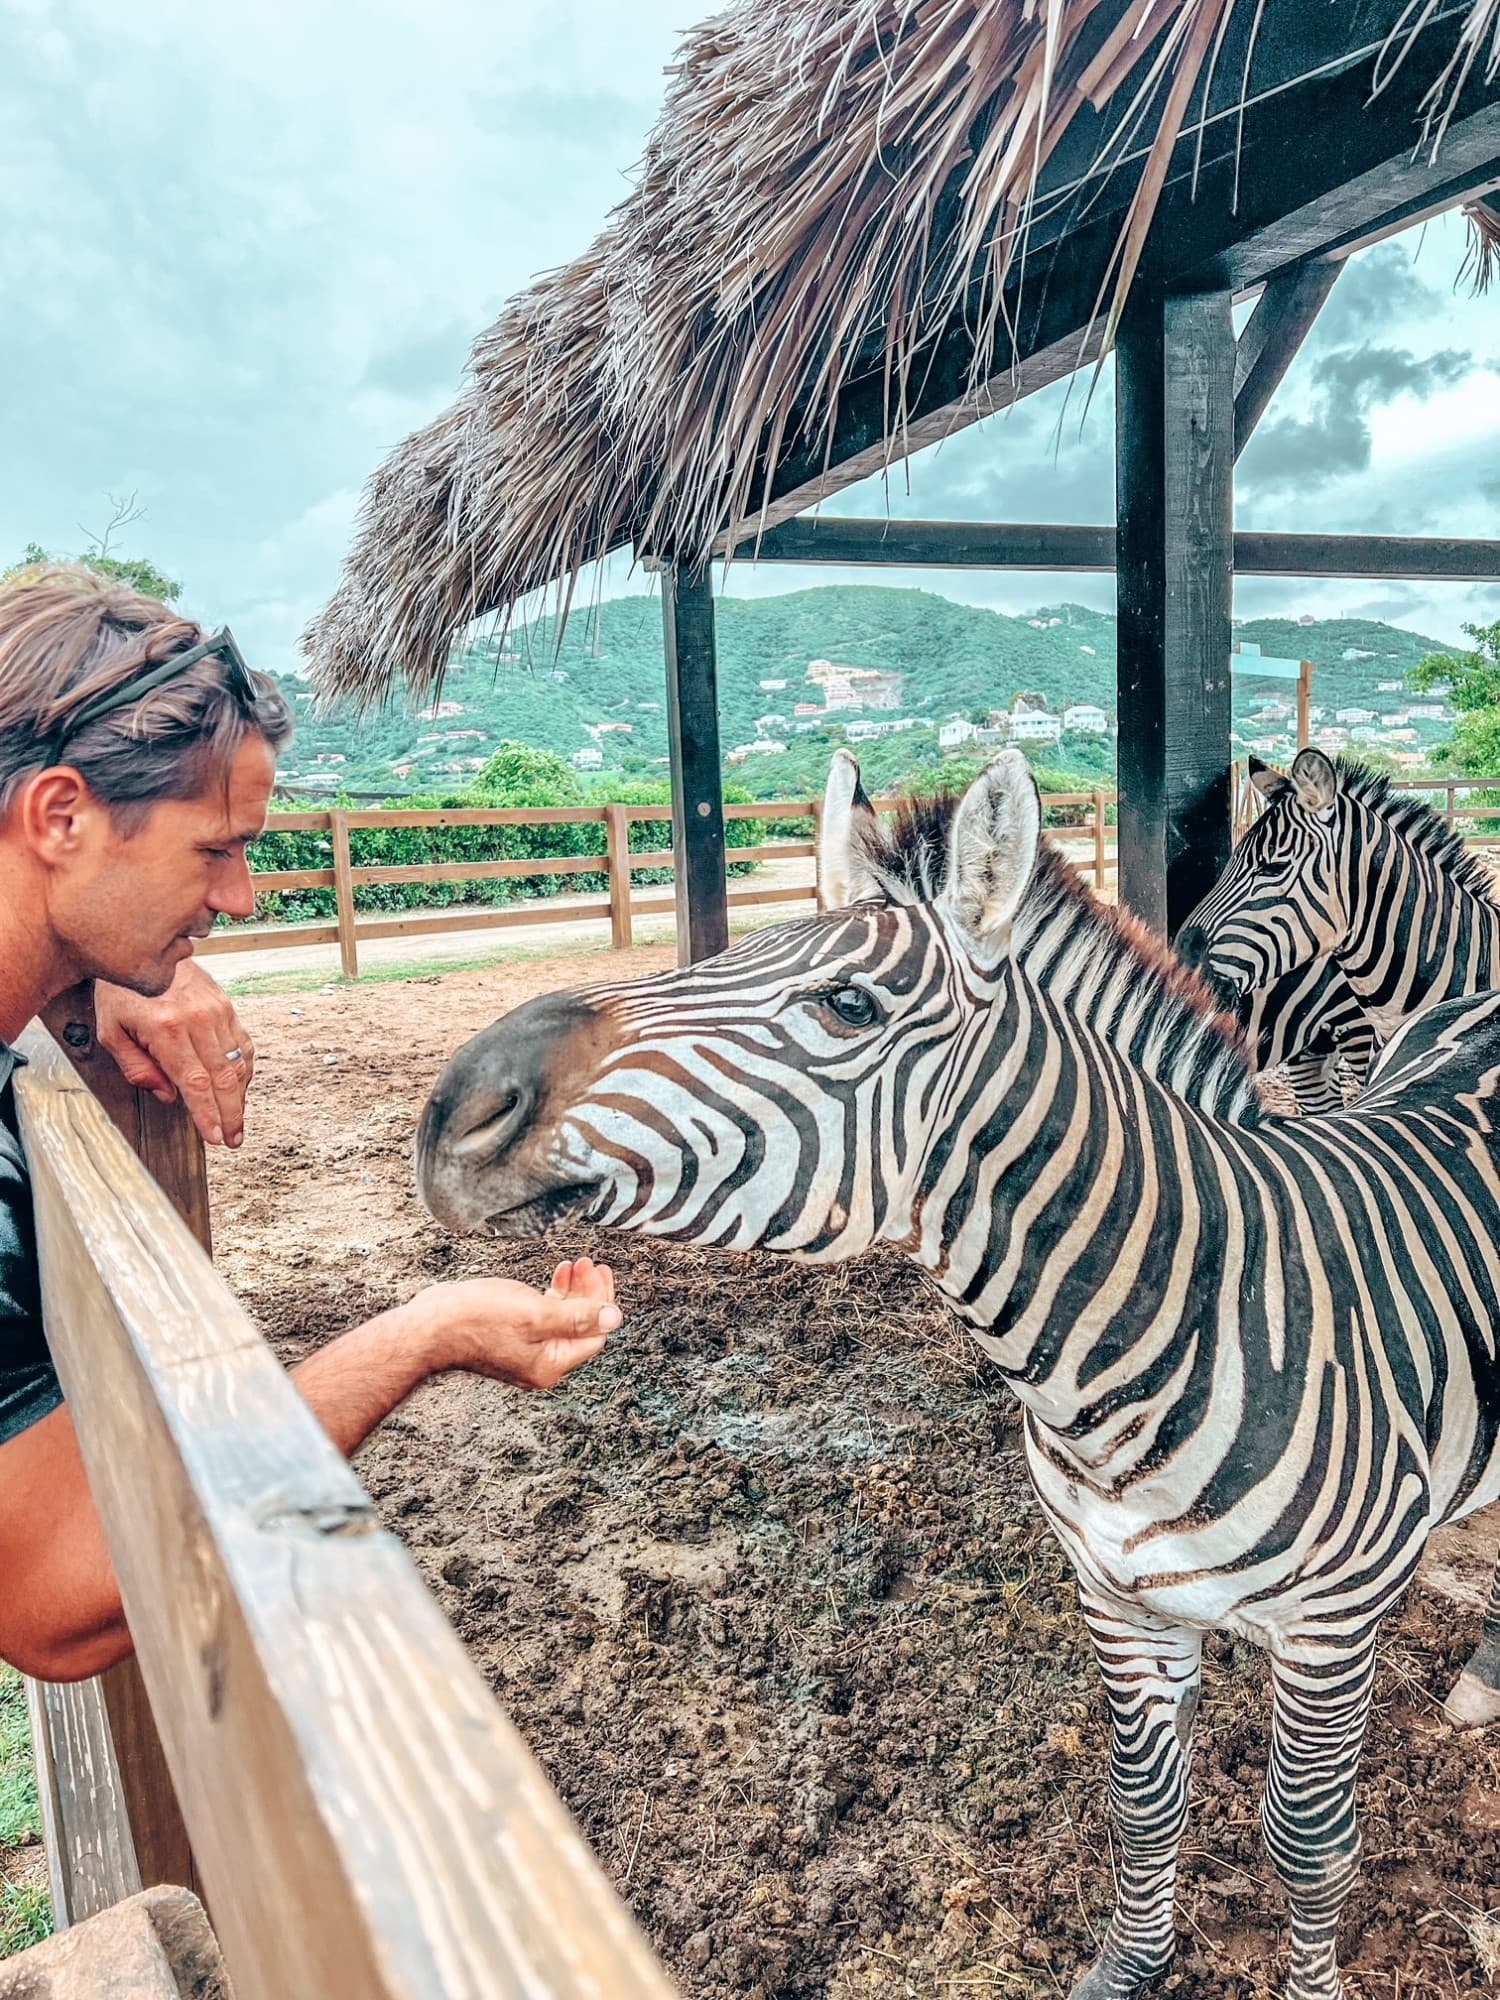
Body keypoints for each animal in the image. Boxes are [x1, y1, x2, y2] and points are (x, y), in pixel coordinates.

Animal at [417, 747, 1500, 2000]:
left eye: (849, 1004)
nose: (455, 1108)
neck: (1139, 1350)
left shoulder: (1332, 1630)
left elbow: (1308, 1842)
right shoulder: (1117, 1598)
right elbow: (1142, 1803)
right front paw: (1127, 1968)